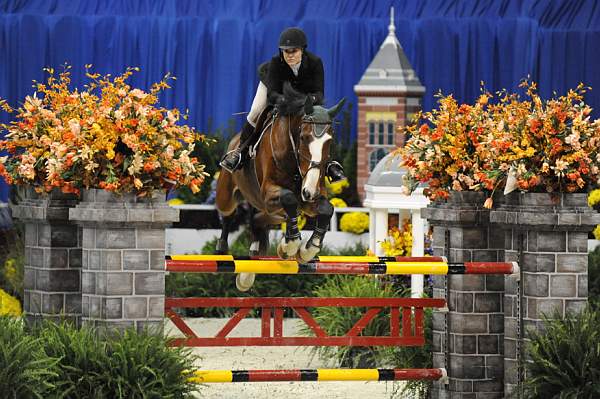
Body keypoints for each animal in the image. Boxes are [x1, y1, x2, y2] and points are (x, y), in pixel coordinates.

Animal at [217, 82, 346, 290]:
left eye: (330, 140)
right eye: (304, 137)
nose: (309, 192)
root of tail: (234, 140)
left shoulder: (309, 200)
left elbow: (327, 209)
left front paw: (307, 249)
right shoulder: (270, 194)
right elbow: (289, 197)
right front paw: (290, 245)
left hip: (271, 213)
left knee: (257, 222)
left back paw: (248, 271)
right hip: (229, 194)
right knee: (228, 214)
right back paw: (222, 249)